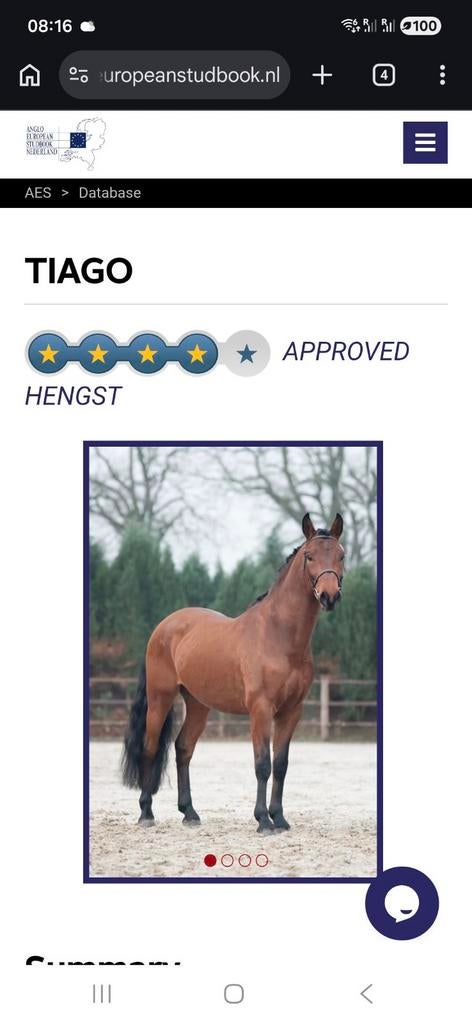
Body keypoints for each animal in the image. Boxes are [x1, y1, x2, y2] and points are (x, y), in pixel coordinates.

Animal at [121, 511, 345, 834]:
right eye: (309, 556)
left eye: (341, 555)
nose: (329, 596)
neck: (279, 636)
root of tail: (164, 627)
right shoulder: (261, 709)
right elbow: (262, 764)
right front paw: (263, 820)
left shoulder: (292, 711)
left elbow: (281, 764)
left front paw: (279, 818)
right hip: (160, 699)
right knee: (150, 748)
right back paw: (146, 813)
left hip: (198, 704)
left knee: (183, 748)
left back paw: (190, 813)